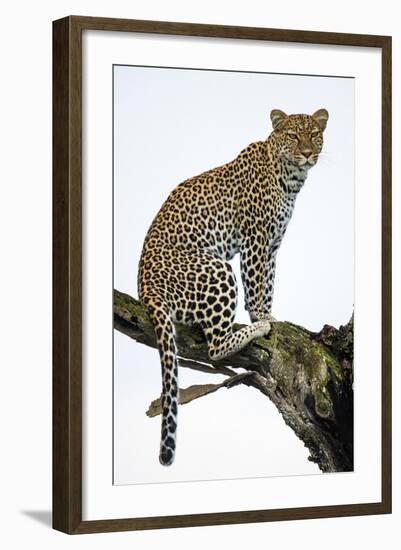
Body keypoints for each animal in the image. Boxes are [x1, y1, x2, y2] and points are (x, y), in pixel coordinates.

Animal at [138, 108, 328, 466]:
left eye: (314, 133)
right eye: (293, 136)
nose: (308, 153)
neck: (290, 178)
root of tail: (146, 290)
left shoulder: (272, 245)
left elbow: (268, 283)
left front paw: (270, 314)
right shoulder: (255, 239)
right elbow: (255, 286)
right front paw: (262, 318)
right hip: (217, 268)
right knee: (214, 346)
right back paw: (251, 332)